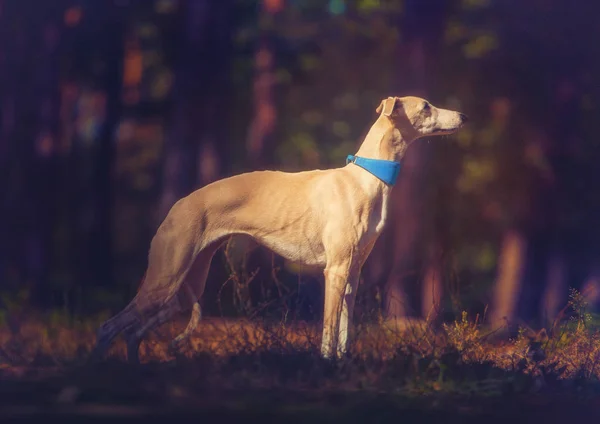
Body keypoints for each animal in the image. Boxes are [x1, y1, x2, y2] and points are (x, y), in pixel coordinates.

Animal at [91, 96, 466, 362]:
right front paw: (326, 366)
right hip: (165, 279)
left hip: (184, 290)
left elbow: (344, 331)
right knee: (108, 328)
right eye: (426, 106)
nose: (463, 117)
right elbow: (329, 330)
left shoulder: (352, 274)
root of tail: (177, 205)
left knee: (133, 333)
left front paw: (343, 366)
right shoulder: (335, 270)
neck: (366, 177)